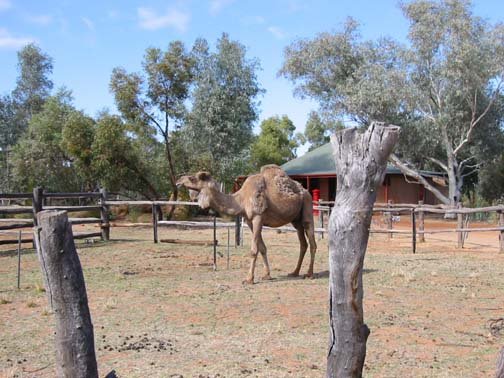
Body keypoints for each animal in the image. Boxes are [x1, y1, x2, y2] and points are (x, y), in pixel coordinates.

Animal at [177, 165, 316, 284]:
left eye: (192, 178)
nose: (178, 181)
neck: (241, 200)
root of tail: (305, 191)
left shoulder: (258, 217)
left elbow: (254, 250)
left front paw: (249, 279)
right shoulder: (249, 221)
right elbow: (262, 248)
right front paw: (267, 275)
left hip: (307, 206)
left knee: (312, 242)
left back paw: (309, 274)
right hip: (296, 221)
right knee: (303, 244)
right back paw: (294, 272)